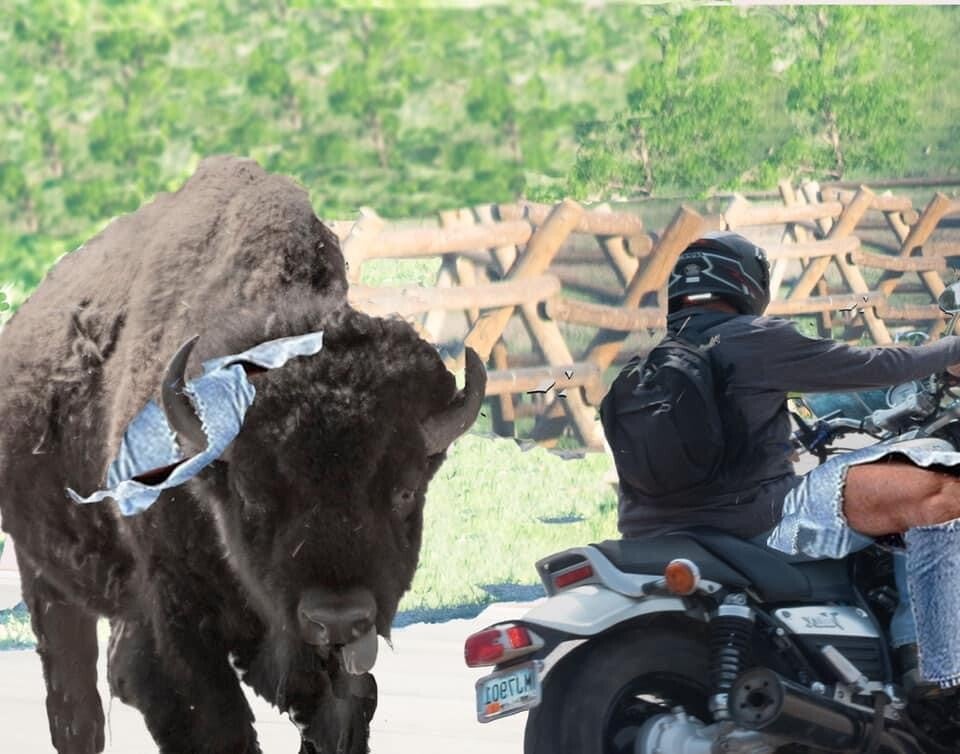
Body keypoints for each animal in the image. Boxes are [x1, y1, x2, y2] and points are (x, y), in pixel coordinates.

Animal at [0, 156, 485, 753]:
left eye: (404, 492)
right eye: (252, 496)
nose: (336, 619)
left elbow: (342, 713)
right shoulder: (177, 629)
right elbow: (213, 720)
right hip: (45, 578)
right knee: (75, 700)